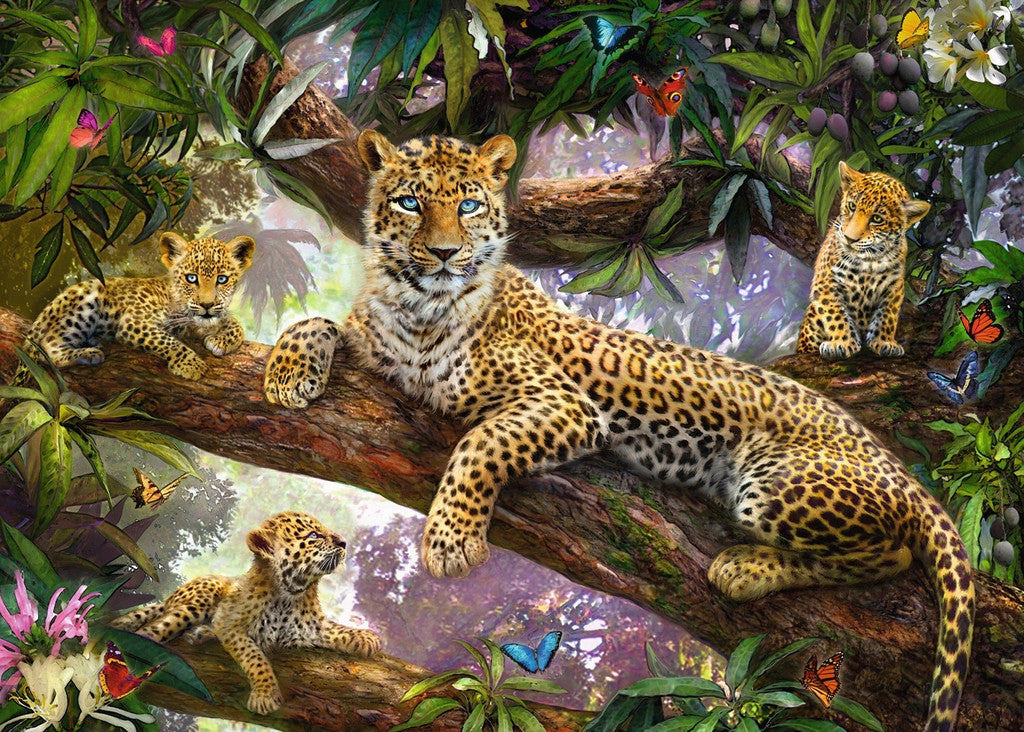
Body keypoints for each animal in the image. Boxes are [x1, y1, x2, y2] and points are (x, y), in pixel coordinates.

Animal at [19, 231, 254, 381]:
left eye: (222, 279)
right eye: (191, 278)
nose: (207, 304)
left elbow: (232, 322)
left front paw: (221, 341)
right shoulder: (135, 322)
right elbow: (168, 341)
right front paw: (191, 365)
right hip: (86, 301)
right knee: (50, 348)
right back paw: (88, 353)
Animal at [111, 511, 381, 715]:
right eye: (314, 535)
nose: (344, 542)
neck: (290, 592)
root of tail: (170, 597)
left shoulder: (311, 628)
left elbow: (337, 629)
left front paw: (367, 637)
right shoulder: (231, 624)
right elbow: (255, 658)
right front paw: (265, 694)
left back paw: (201, 634)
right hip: (197, 601)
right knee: (154, 628)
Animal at [796, 161, 930, 360]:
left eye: (877, 219)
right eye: (852, 206)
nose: (849, 238)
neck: (869, 261)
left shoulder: (894, 286)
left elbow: (887, 315)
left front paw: (885, 342)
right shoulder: (826, 281)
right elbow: (835, 314)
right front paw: (841, 342)